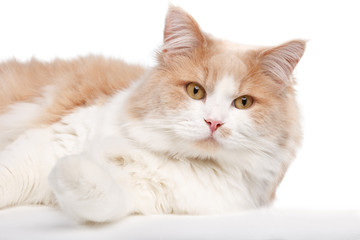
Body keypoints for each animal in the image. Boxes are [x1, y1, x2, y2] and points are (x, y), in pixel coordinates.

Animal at [0, 6, 306, 223]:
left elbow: (96, 193)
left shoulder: (137, 196)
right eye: (195, 91)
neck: (166, 155)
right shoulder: (48, 145)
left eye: (243, 102)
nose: (214, 122)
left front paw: (69, 169)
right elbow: (10, 176)